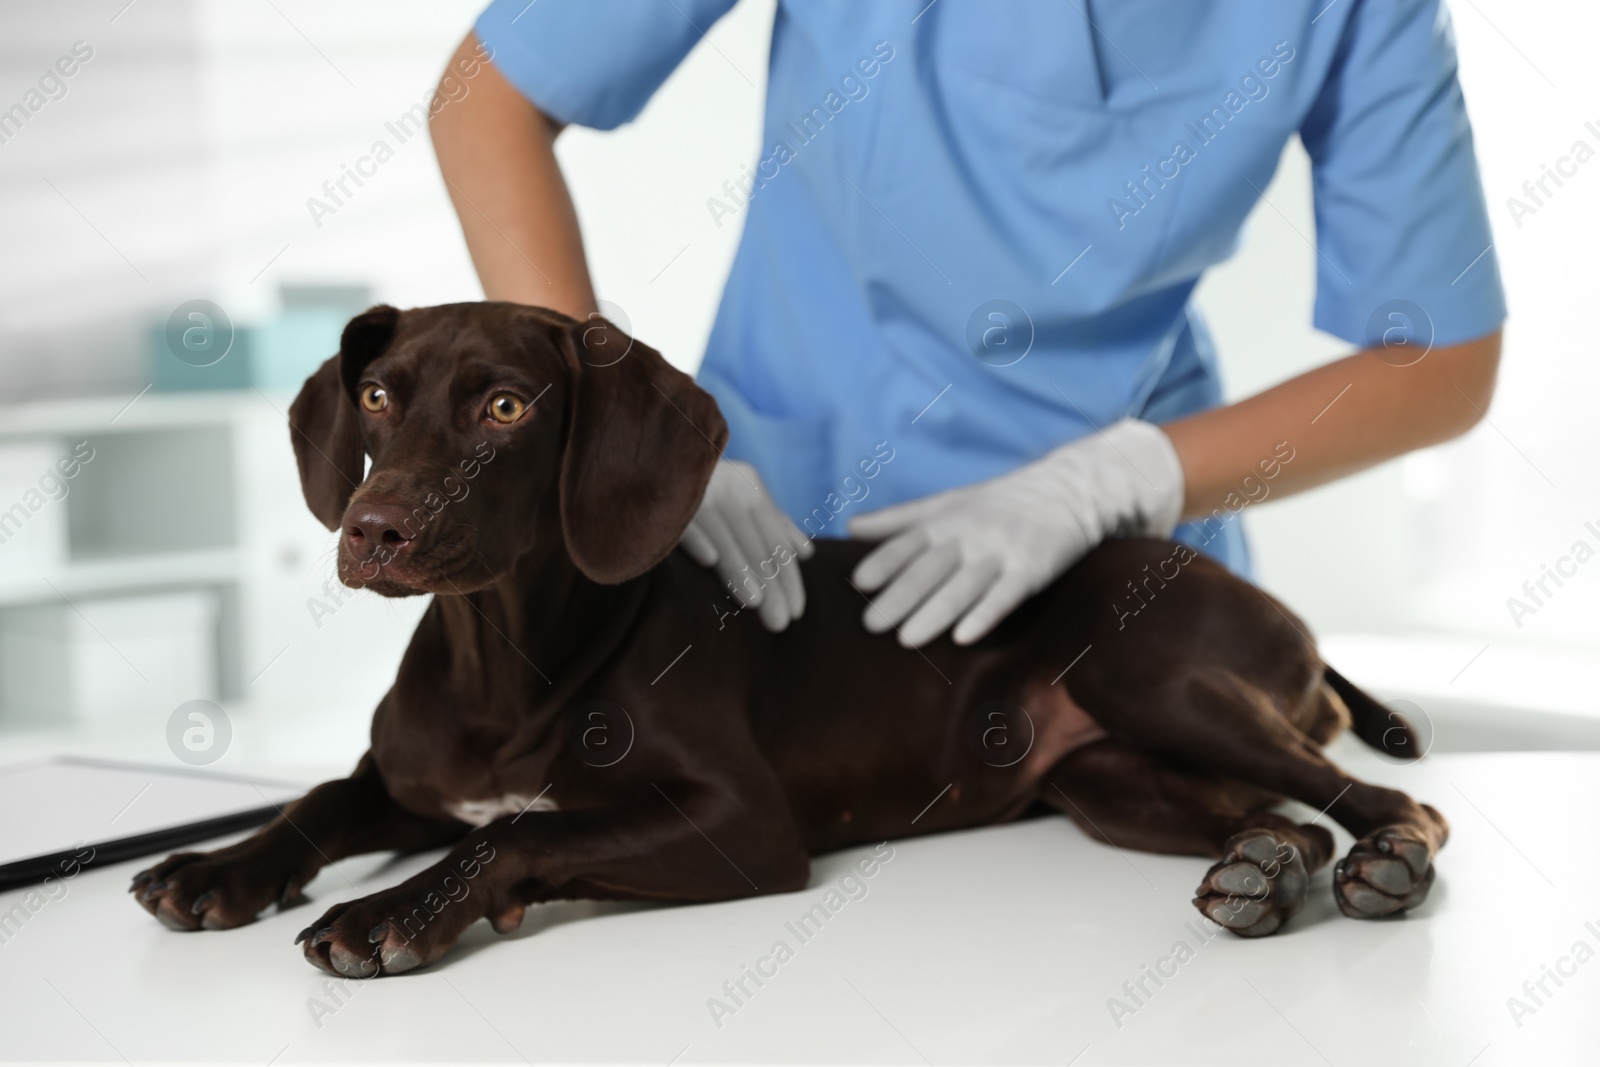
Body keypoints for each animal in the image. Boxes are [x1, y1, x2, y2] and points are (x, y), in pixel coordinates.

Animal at [131, 302, 1446, 979]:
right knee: (1277, 821)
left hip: (1151, 675)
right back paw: (1262, 872)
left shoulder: (744, 824)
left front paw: (393, 909)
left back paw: (1380, 866)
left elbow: (524, 828)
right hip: (1107, 780)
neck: (502, 658)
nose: (373, 529)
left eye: (504, 405)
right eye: (377, 397)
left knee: (1391, 801)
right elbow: (316, 799)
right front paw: (218, 866)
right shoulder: (404, 780)